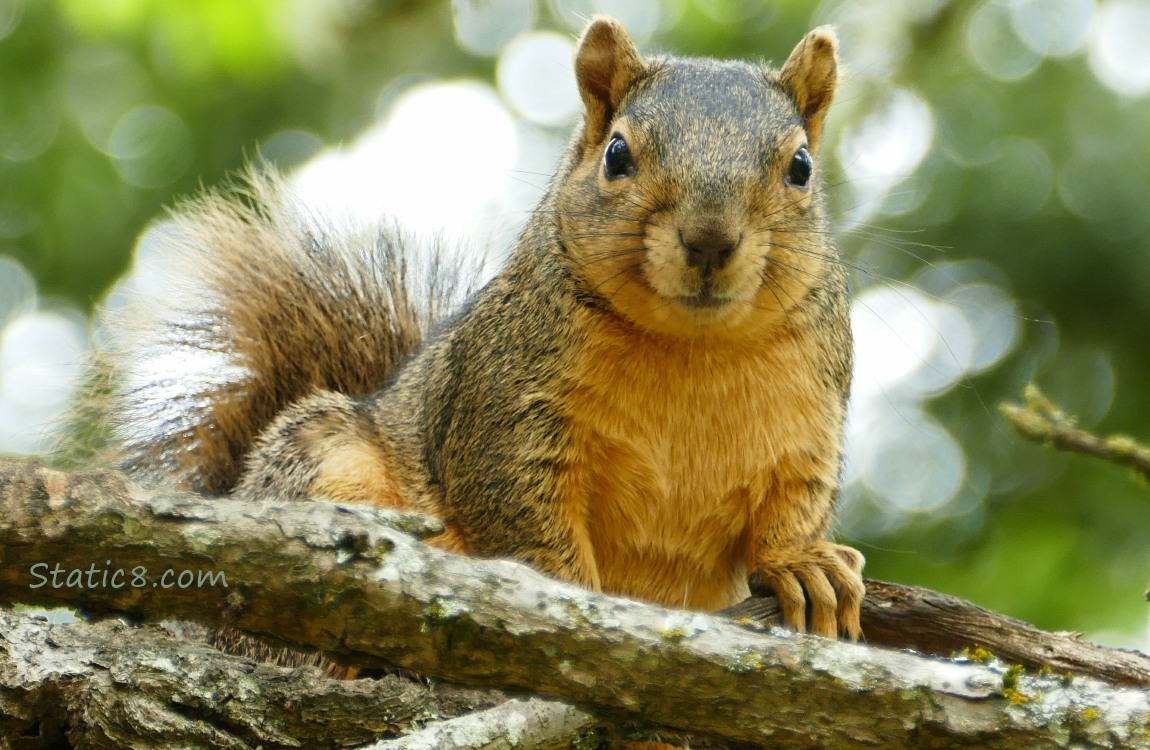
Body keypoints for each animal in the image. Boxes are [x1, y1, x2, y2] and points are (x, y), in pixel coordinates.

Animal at [103, 16, 864, 639]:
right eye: (617, 155)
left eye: (801, 166)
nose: (709, 240)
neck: (691, 344)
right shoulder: (504, 405)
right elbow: (519, 514)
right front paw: (565, 595)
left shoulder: (810, 416)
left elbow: (798, 499)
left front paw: (803, 563)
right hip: (325, 461)